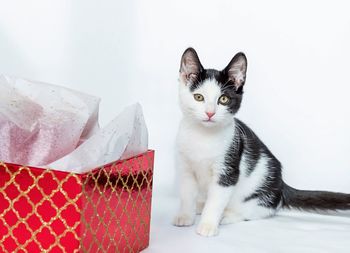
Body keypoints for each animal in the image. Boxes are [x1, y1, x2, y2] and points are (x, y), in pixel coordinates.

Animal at [173, 47, 350, 237]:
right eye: (198, 97)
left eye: (224, 99)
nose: (210, 113)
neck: (203, 135)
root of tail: (281, 185)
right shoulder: (186, 167)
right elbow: (186, 193)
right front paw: (185, 216)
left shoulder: (228, 169)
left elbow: (216, 201)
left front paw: (207, 225)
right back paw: (200, 205)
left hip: (261, 192)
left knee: (260, 210)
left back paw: (227, 215)